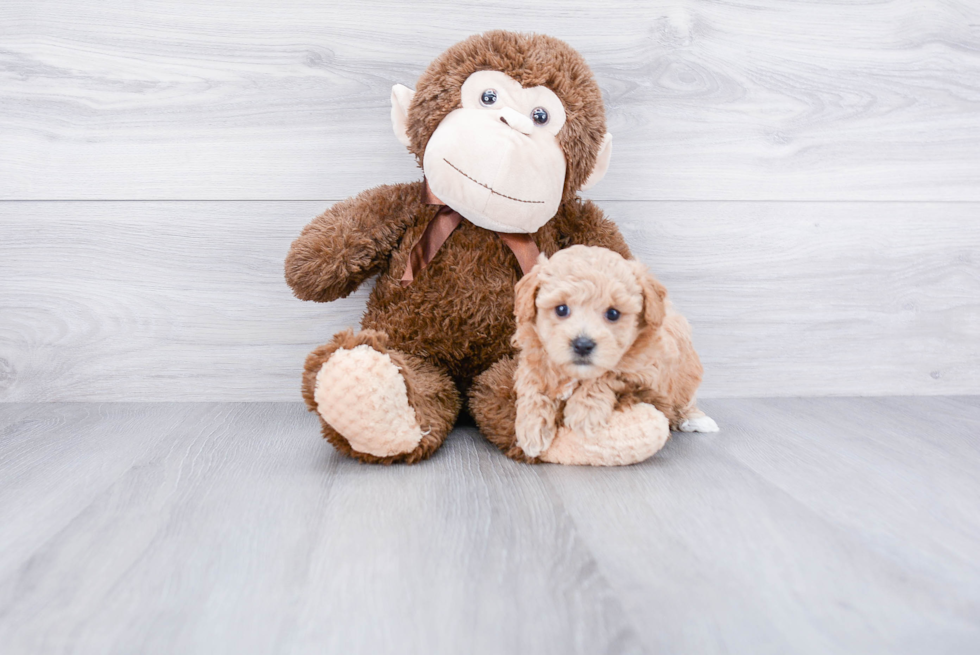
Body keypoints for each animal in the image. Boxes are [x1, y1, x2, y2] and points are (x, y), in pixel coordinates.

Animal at [512, 246, 720, 466]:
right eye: (561, 309)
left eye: (613, 313)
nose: (583, 345)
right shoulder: (533, 359)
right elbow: (533, 386)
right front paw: (531, 429)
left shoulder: (646, 368)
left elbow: (606, 375)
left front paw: (583, 413)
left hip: (685, 372)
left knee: (684, 398)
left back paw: (696, 419)